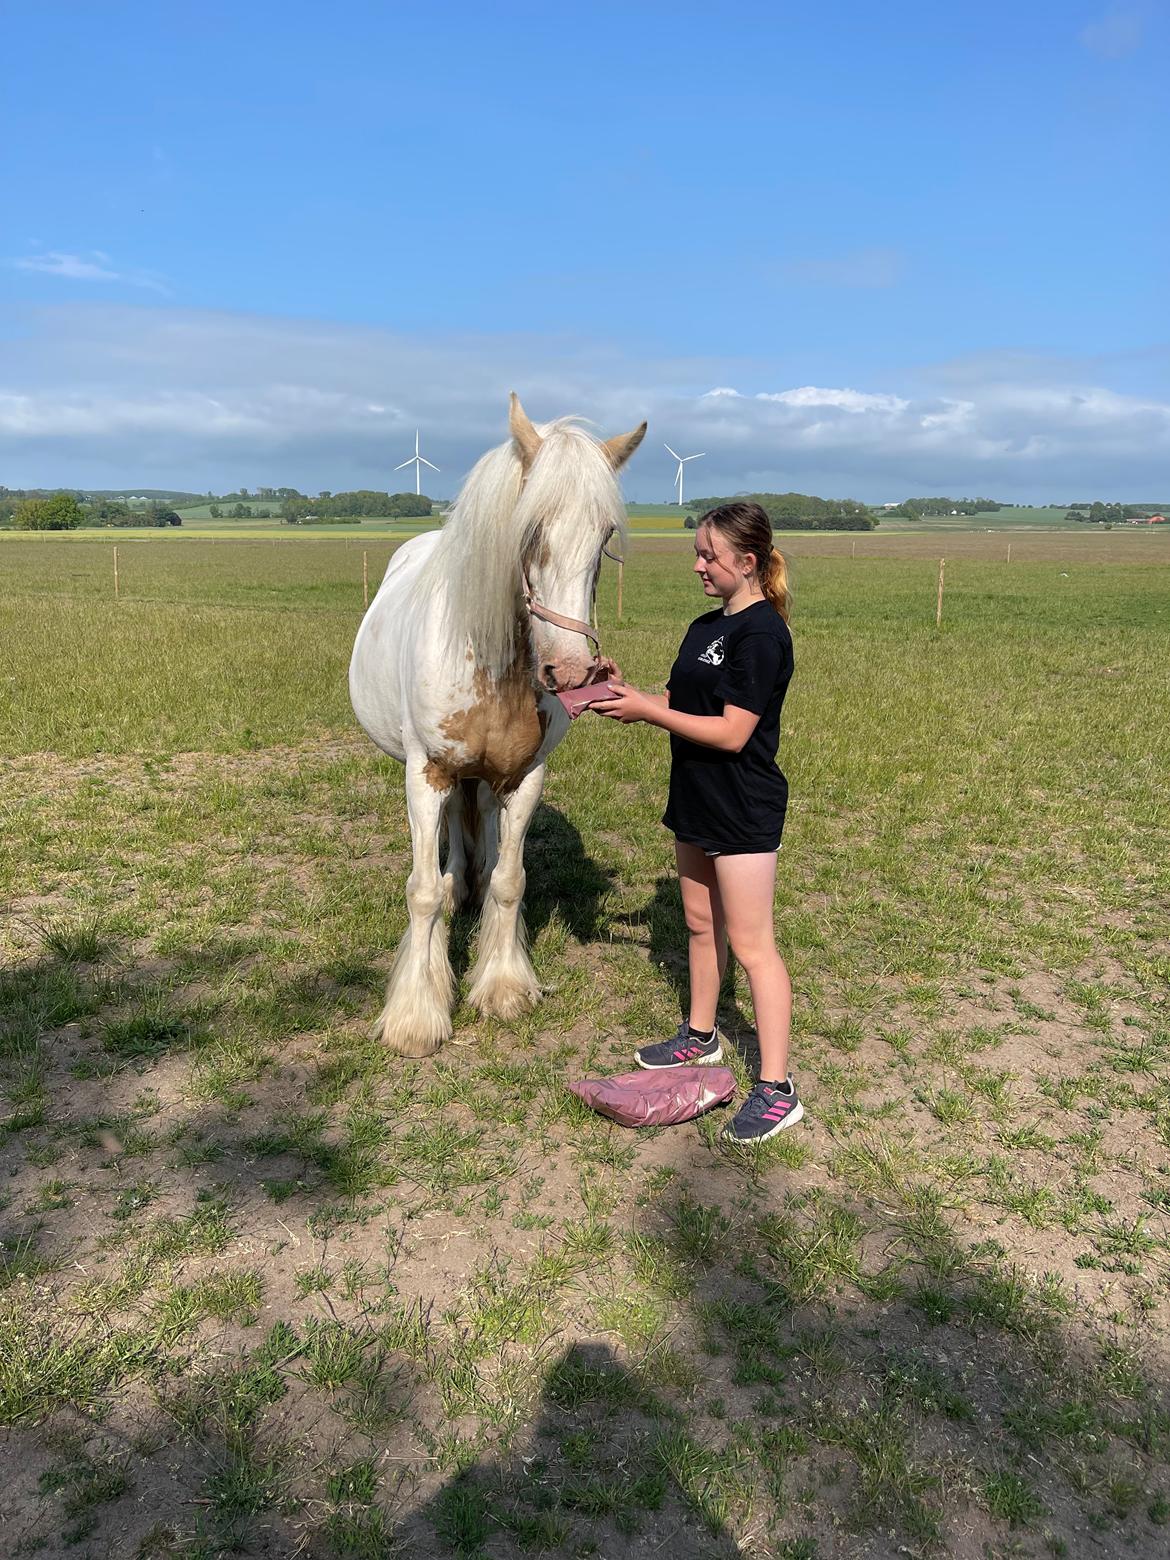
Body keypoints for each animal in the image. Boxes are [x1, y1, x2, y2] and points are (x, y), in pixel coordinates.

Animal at [347, 390, 652, 1054]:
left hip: (488, 779)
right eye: (528, 529)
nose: (572, 671)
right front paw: (416, 1013)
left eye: (605, 536)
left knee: (479, 825)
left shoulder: (524, 777)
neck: (491, 659)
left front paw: (504, 985)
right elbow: (422, 891)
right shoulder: (427, 775)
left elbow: (510, 880)